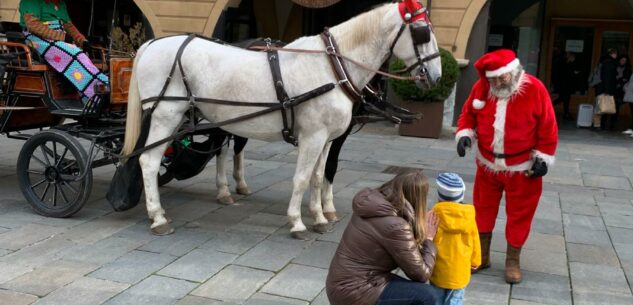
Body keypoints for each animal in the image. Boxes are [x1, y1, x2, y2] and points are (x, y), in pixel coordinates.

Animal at [121, 0, 442, 238]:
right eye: (423, 32)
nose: (437, 77)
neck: (332, 66)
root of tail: (152, 44)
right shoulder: (313, 136)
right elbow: (301, 178)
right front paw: (297, 222)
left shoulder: (327, 138)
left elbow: (318, 177)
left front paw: (319, 216)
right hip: (165, 116)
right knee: (149, 161)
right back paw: (157, 216)